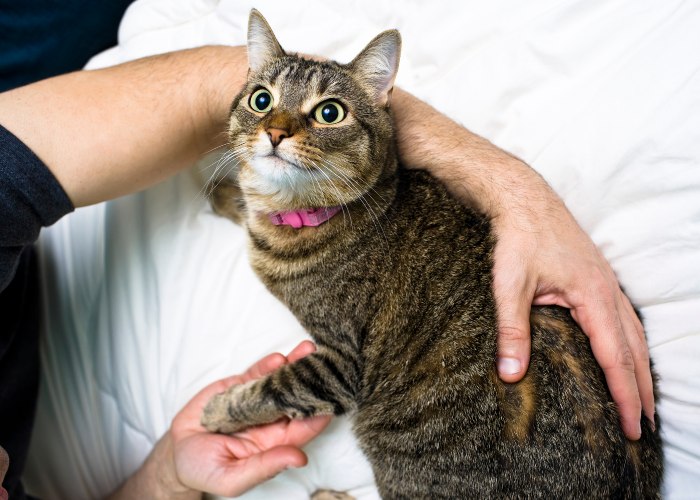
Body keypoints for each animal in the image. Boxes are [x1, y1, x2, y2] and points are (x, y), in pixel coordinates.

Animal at [201, 9, 660, 498]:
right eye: (261, 100)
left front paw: (217, 410)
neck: (294, 217)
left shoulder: (339, 364)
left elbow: (272, 389)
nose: (275, 132)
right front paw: (223, 194)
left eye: (329, 112)